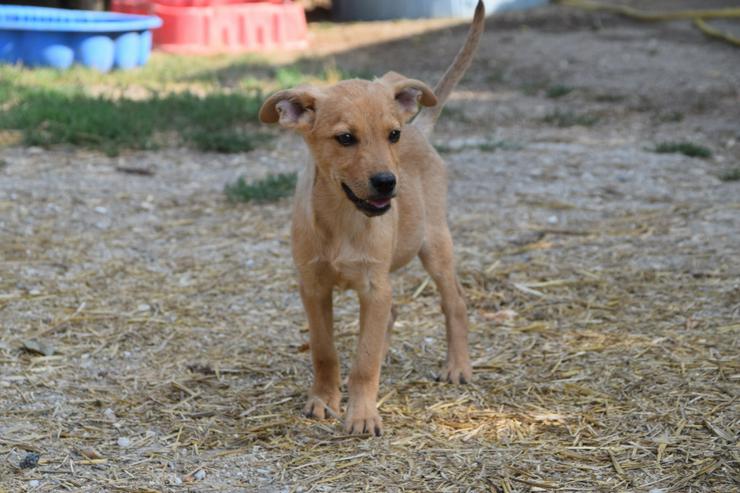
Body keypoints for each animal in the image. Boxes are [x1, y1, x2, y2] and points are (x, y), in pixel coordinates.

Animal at [260, 0, 486, 434]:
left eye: (391, 135)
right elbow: (325, 351)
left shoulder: (373, 285)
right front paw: (323, 400)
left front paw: (362, 414)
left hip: (435, 245)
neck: (342, 222)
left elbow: (363, 362)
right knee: (393, 316)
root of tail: (421, 128)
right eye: (345, 138)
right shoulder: (313, 286)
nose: (386, 183)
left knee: (455, 302)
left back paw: (458, 367)